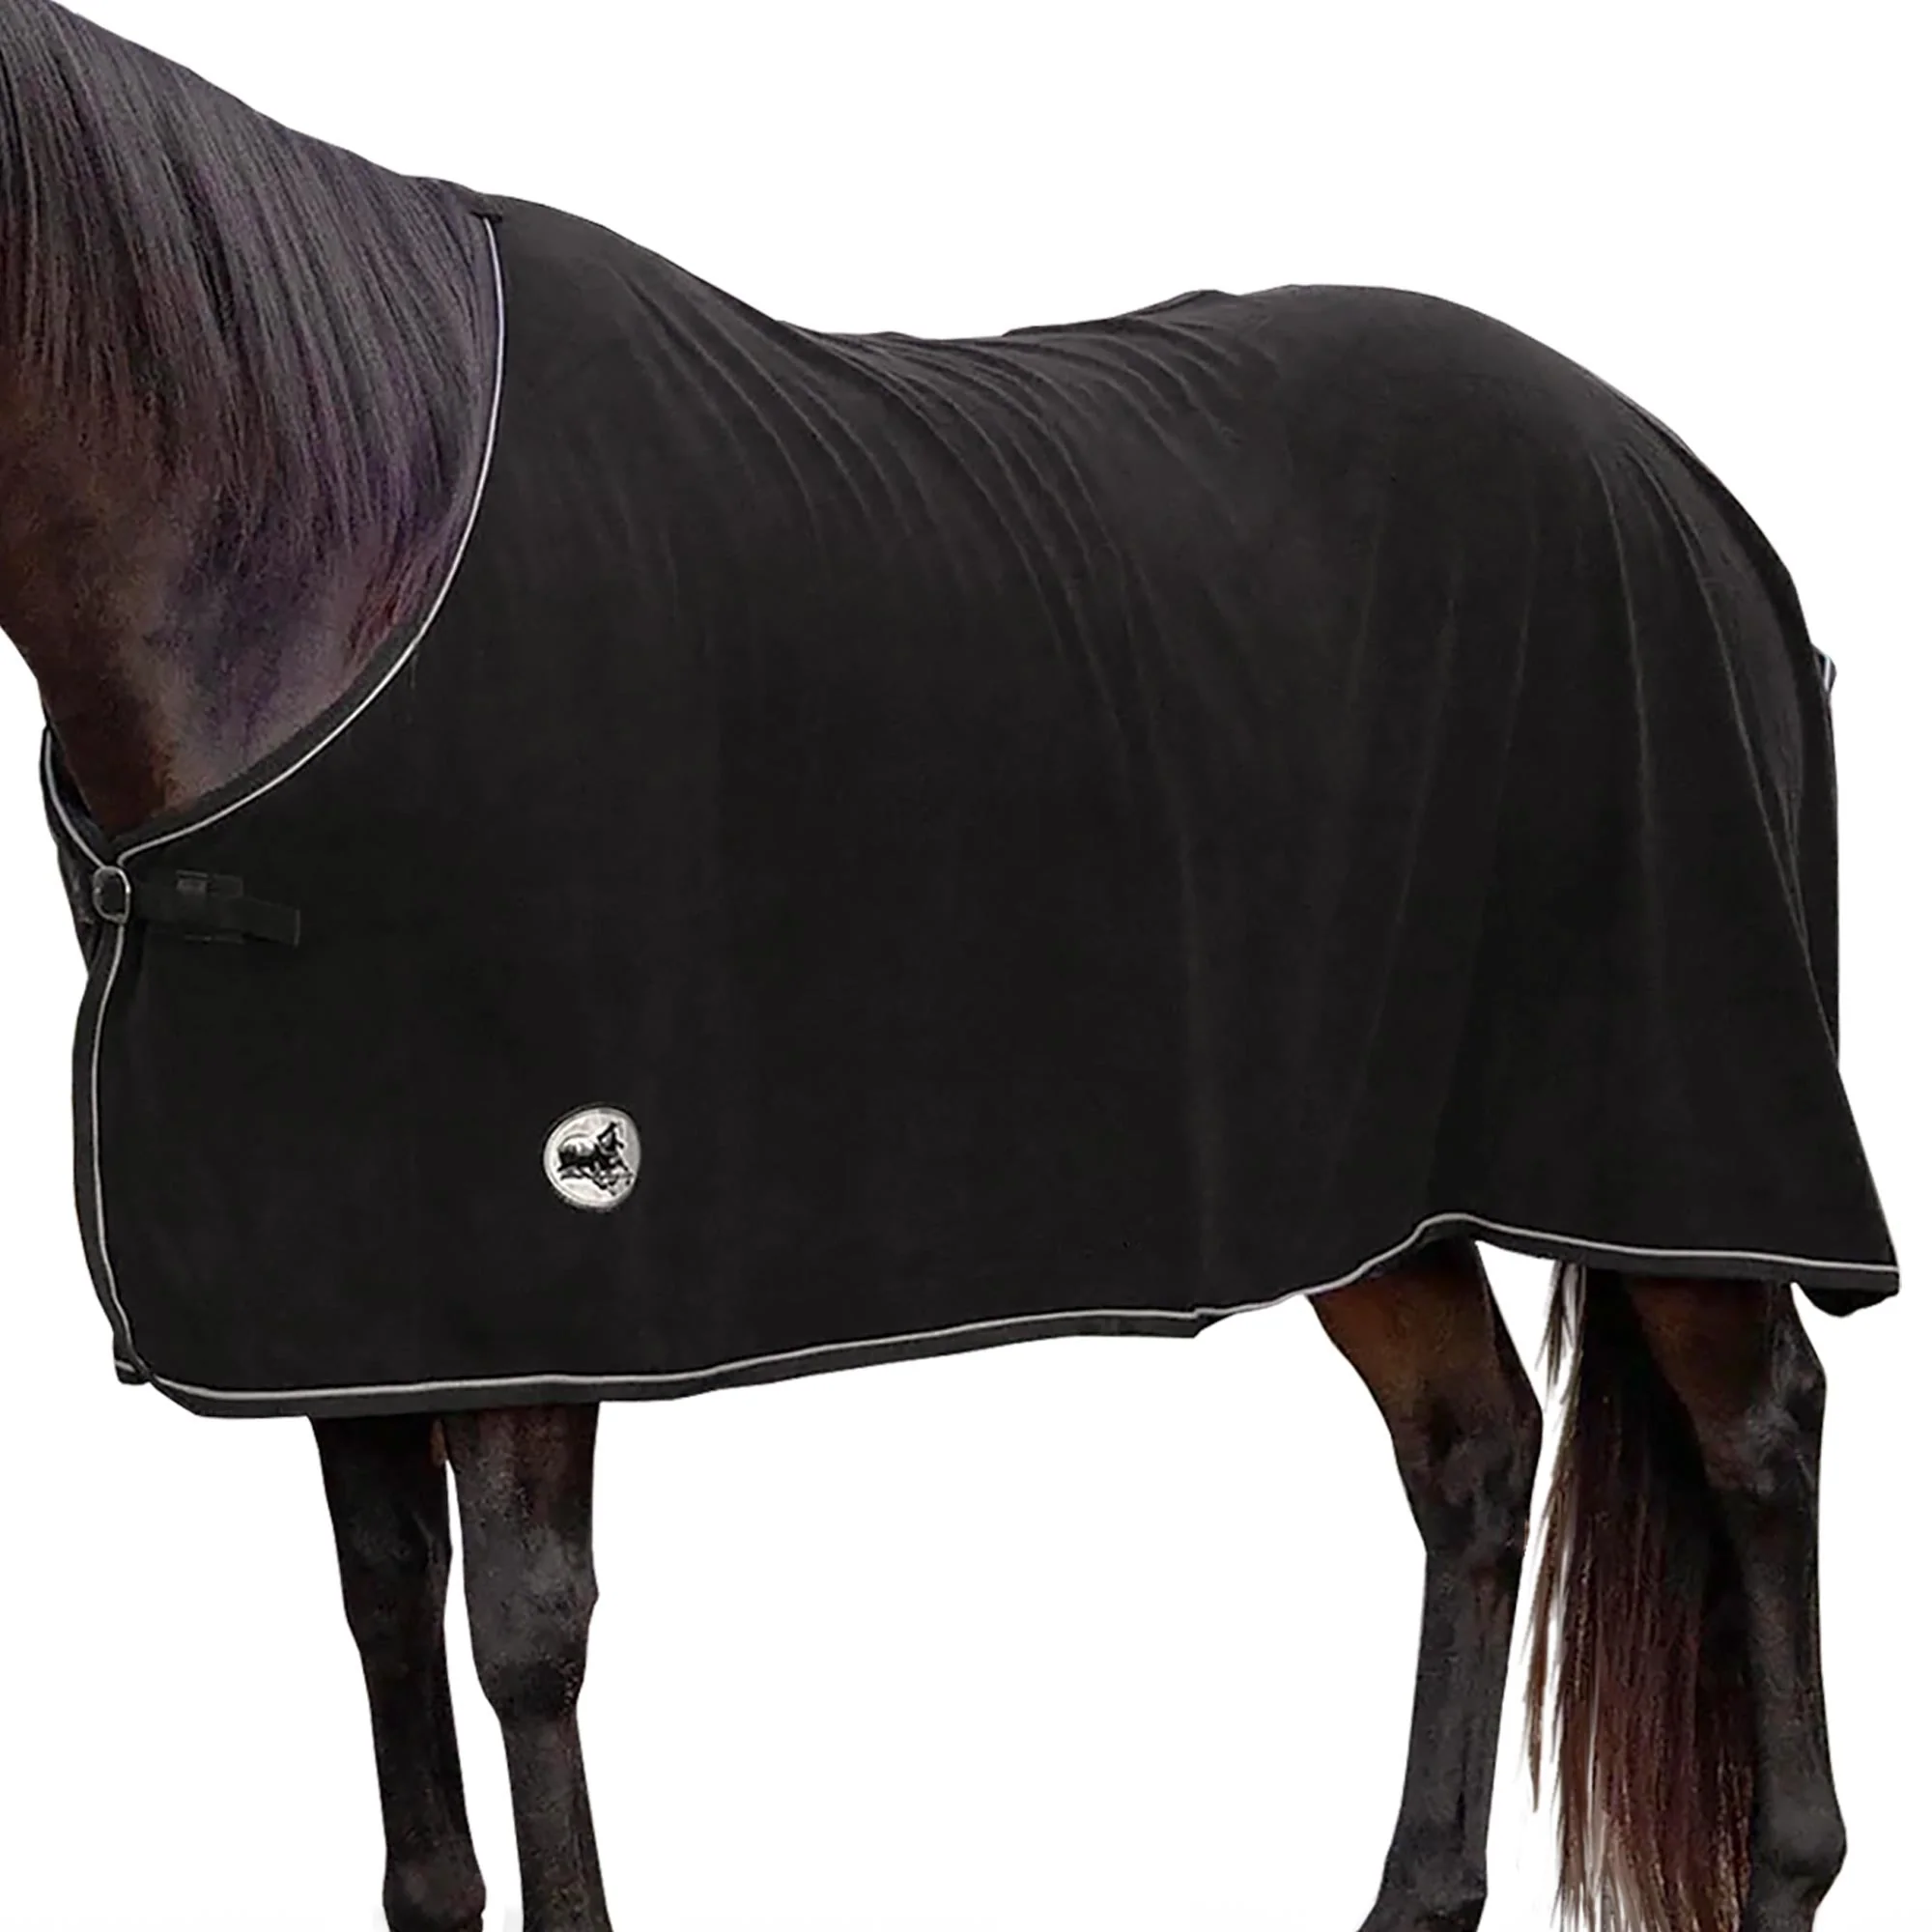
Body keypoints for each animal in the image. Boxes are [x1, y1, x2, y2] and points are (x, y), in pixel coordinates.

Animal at [0, 5, 1899, 1930]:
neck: (332, 556)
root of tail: (1680, 485)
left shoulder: (548, 1252)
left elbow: (526, 1635)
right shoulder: (343, 1295)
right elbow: (386, 1600)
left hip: (1673, 1134)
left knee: (1759, 1434)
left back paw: (1785, 1870)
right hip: (1377, 1187)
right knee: (1476, 1450)